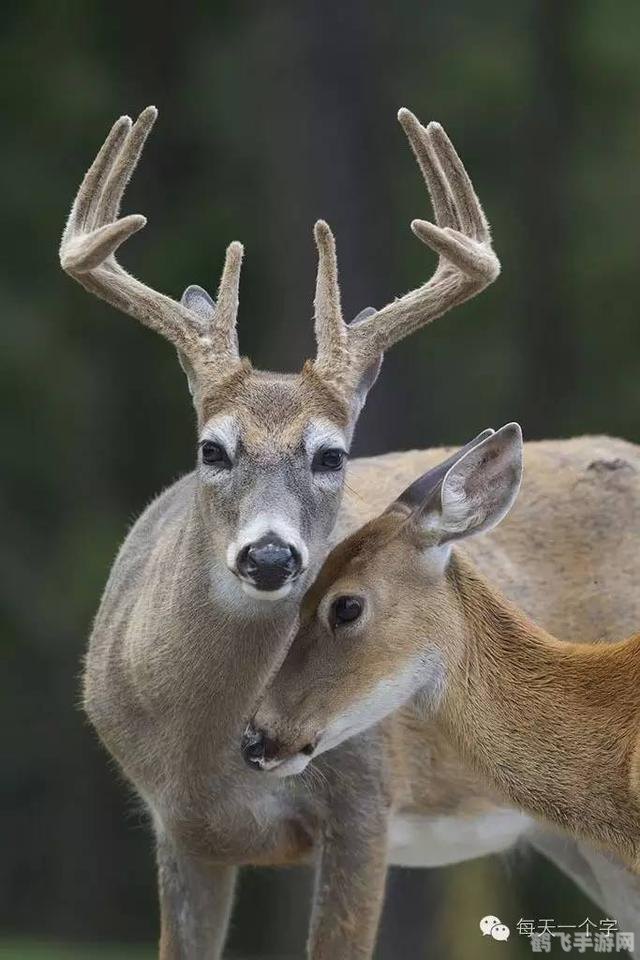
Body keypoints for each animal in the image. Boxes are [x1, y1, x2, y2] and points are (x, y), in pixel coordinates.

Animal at [58, 105, 636, 960]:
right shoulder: (178, 830)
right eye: (211, 448)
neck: (206, 751)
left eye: (332, 454)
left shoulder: (367, 800)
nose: (270, 555)